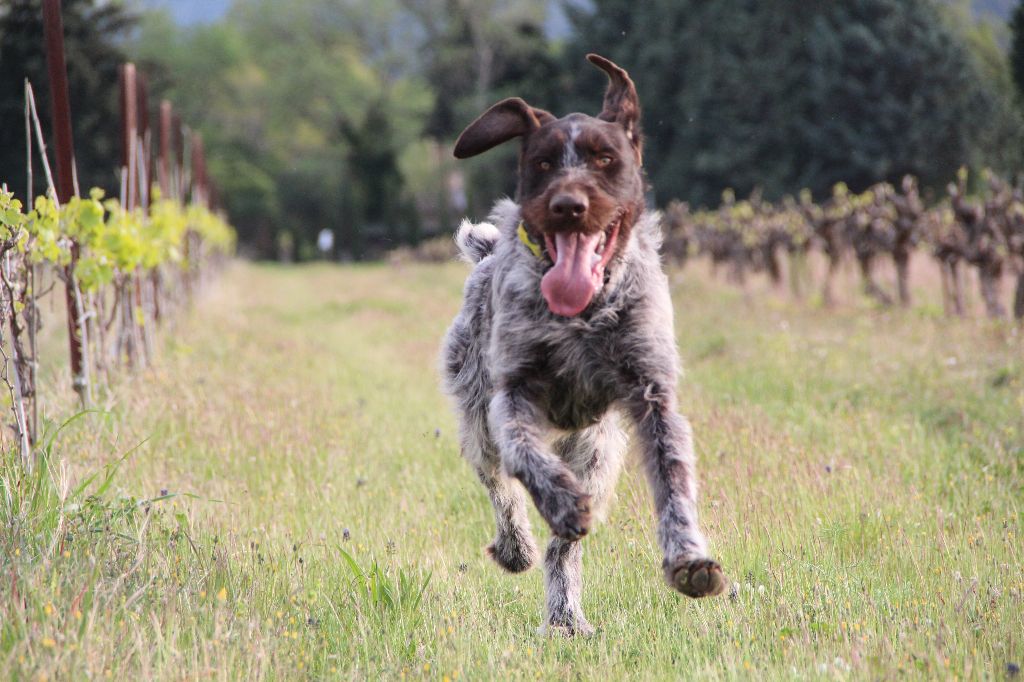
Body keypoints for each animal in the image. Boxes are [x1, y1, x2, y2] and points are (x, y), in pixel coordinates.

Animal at [444, 53, 724, 630]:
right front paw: (559, 504)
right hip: (477, 413)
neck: (584, 314)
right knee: (500, 486)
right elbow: (526, 459)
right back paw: (518, 548)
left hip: (595, 449)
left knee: (563, 550)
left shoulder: (651, 396)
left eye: (605, 158)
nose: (569, 205)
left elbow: (674, 480)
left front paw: (688, 559)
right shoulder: (511, 396)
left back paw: (565, 616)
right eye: (544, 162)